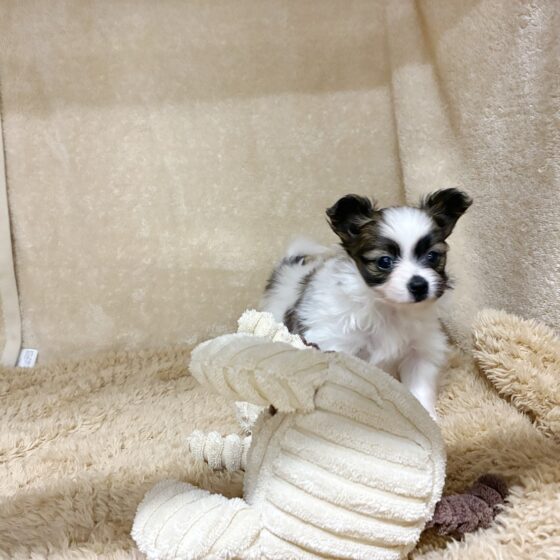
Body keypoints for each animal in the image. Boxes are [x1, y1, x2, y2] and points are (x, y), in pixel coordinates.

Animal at [261, 188, 472, 418]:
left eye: (432, 256)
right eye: (384, 261)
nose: (419, 285)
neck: (389, 308)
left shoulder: (419, 353)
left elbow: (420, 391)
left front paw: (428, 420)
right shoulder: (341, 346)